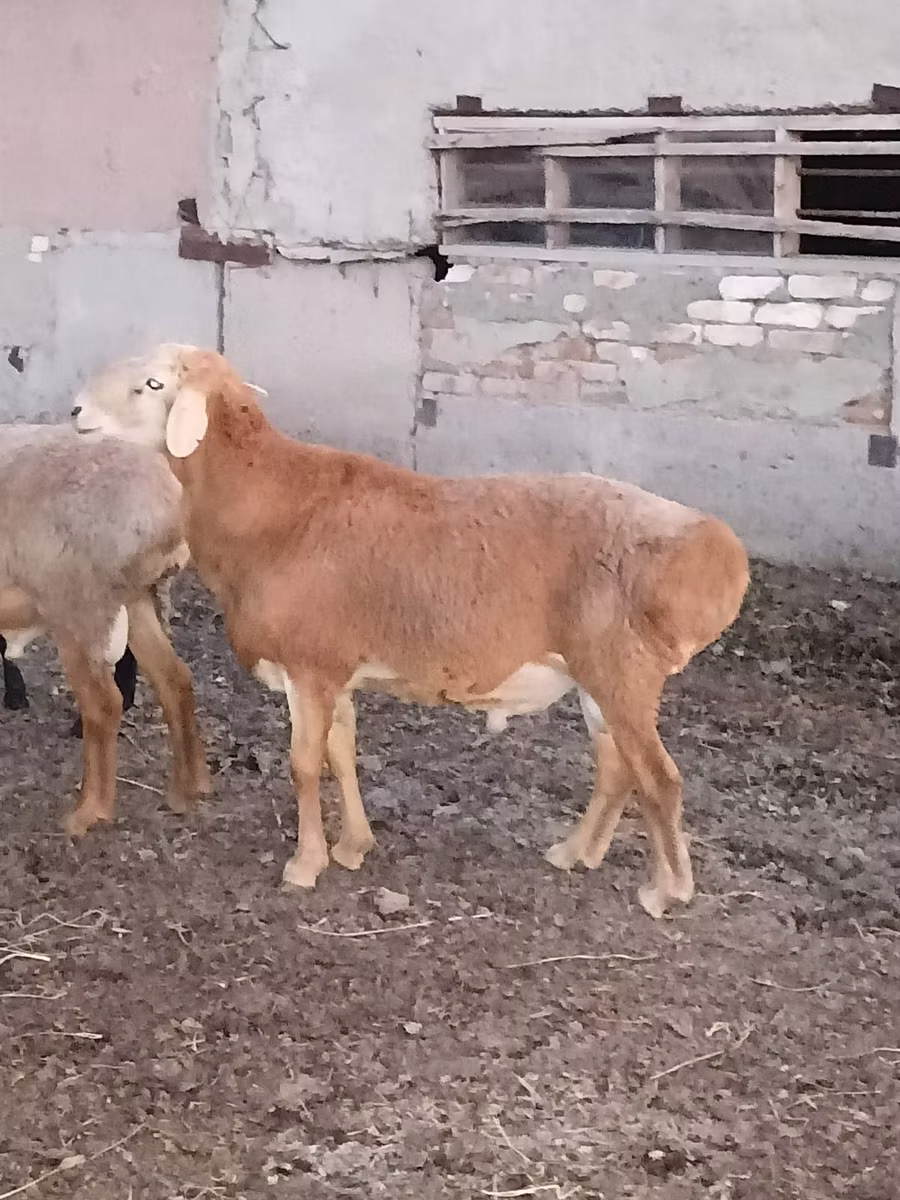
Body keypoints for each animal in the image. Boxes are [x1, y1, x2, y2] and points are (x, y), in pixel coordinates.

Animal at [0, 424, 211, 834]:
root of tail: (169, 507)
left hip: (78, 607)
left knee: (104, 704)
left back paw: (89, 811)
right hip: (134, 599)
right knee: (175, 679)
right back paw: (187, 789)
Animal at [72, 345, 750, 918]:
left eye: (153, 384)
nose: (75, 411)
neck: (268, 506)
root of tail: (719, 553)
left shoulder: (309, 665)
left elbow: (303, 765)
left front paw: (305, 864)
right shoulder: (334, 669)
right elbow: (341, 754)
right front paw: (353, 847)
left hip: (623, 671)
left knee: (659, 778)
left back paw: (667, 890)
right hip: (597, 675)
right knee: (617, 768)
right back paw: (575, 853)